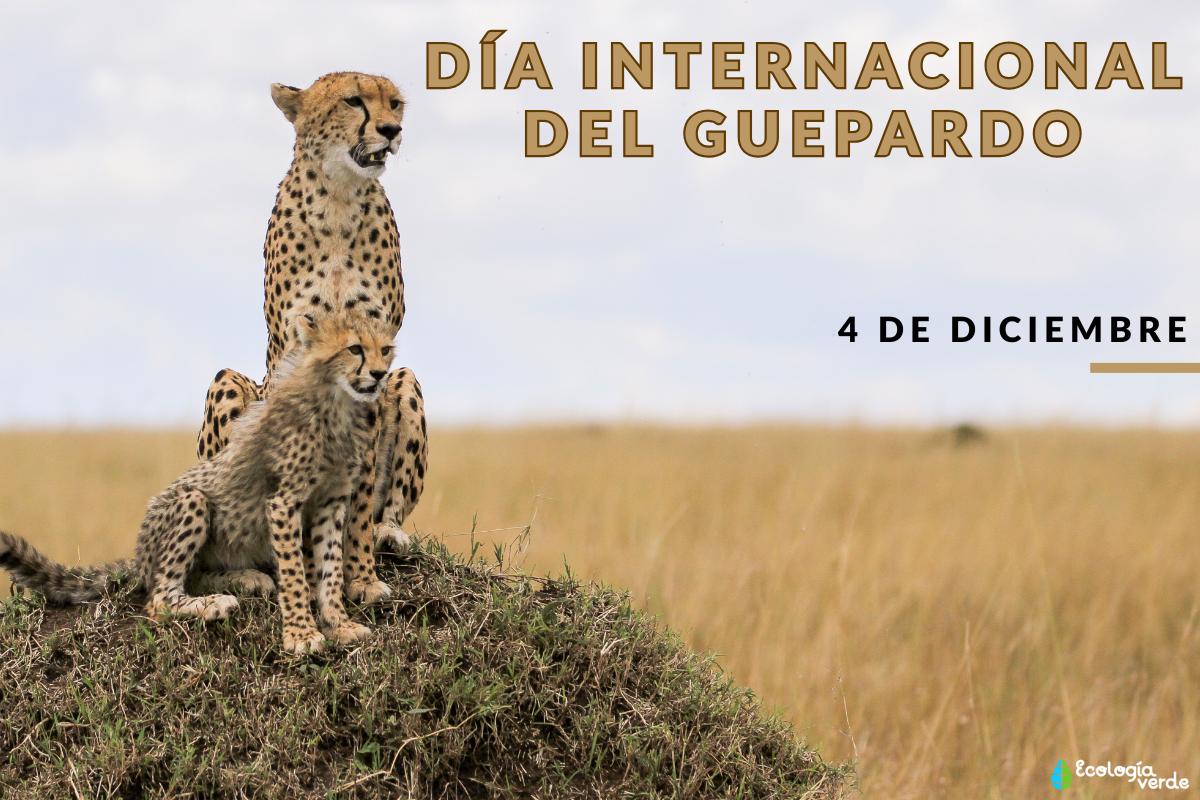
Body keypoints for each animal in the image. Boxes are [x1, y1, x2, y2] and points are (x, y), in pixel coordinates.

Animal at [0, 313, 396, 655]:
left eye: (386, 349)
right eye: (355, 348)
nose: (379, 375)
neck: (336, 400)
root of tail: (139, 556)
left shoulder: (331, 502)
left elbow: (330, 569)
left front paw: (339, 625)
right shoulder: (284, 502)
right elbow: (295, 573)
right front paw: (301, 634)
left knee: (194, 577)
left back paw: (243, 581)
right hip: (191, 501)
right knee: (159, 599)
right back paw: (214, 603)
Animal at [196, 72, 427, 608]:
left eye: (396, 103)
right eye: (353, 101)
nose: (391, 130)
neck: (340, 199)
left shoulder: (378, 358)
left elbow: (358, 491)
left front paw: (360, 576)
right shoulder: (291, 352)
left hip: (407, 381)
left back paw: (389, 533)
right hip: (227, 383)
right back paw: (243, 575)